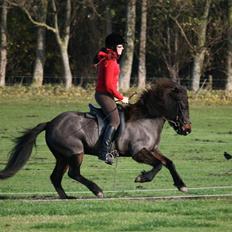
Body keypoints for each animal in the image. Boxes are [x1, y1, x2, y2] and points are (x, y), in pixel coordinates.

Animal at [0, 79, 191, 198]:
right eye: (182, 105)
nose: (187, 129)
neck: (146, 117)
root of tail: (51, 122)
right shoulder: (138, 153)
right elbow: (158, 165)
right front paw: (142, 178)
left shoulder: (152, 150)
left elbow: (168, 163)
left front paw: (181, 185)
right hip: (75, 153)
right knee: (73, 173)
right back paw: (97, 191)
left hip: (62, 157)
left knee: (56, 177)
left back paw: (66, 197)